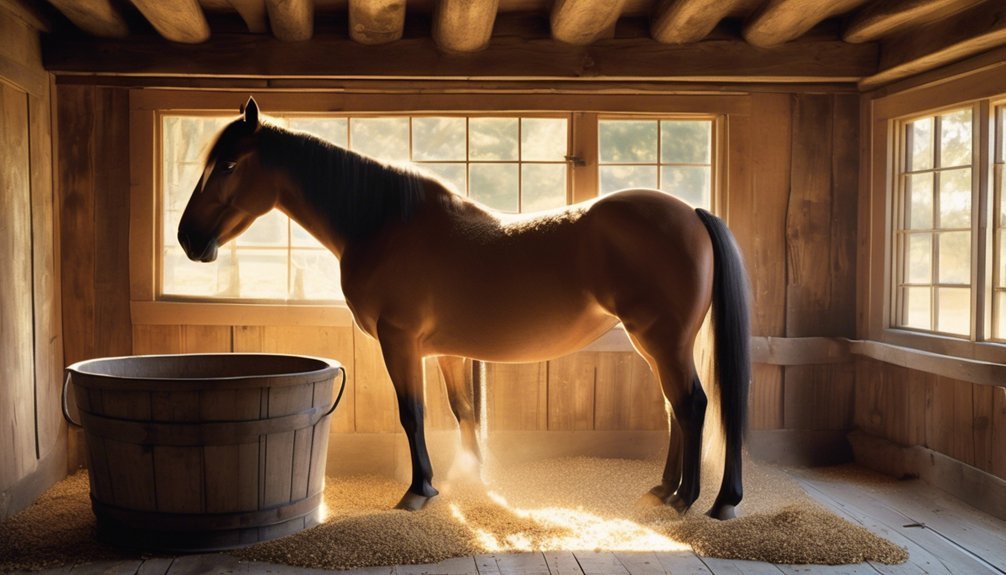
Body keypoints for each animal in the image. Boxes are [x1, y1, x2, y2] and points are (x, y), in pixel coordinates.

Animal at [177, 99, 752, 522]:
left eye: (228, 164)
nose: (187, 238)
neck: (383, 224)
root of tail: (690, 213)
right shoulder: (447, 353)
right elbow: (464, 413)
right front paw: (472, 482)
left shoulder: (401, 342)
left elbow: (413, 414)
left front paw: (419, 490)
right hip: (655, 343)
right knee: (676, 407)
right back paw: (667, 489)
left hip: (662, 340)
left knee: (693, 405)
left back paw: (692, 499)